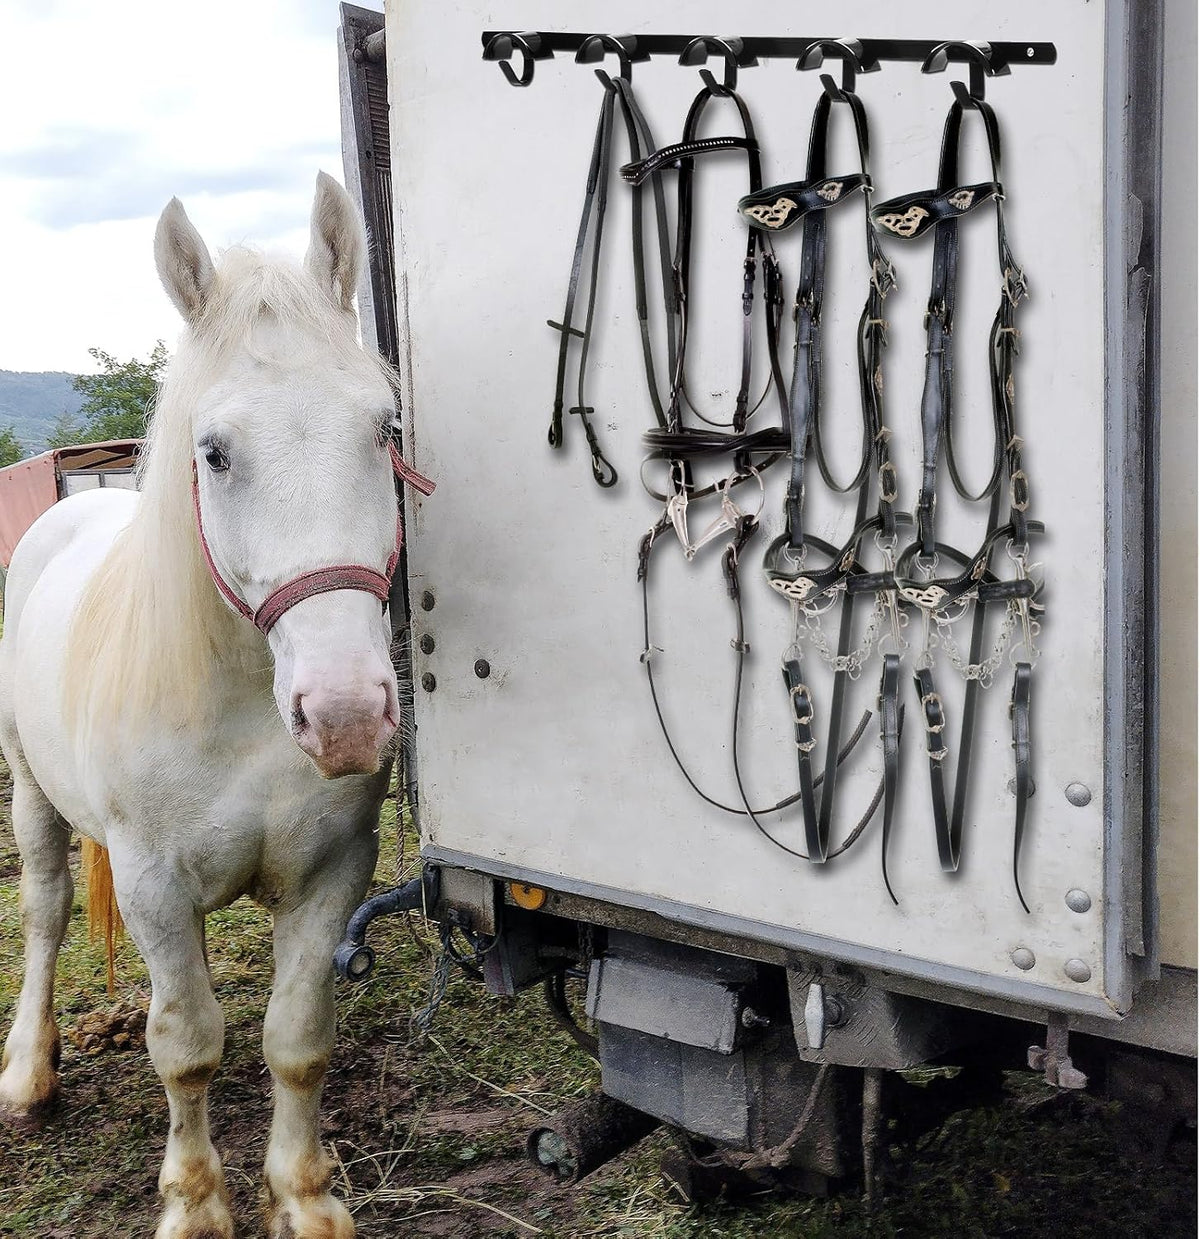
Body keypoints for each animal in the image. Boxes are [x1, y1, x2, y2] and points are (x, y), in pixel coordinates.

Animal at [0, 173, 426, 1238]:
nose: (345, 712)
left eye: (385, 429)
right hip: (31, 794)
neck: (239, 708)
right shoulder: (154, 883)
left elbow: (296, 1038)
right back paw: (28, 1070)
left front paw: (303, 1198)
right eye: (215, 452)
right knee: (45, 913)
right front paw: (195, 1204)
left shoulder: (331, 872)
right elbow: (185, 1045)